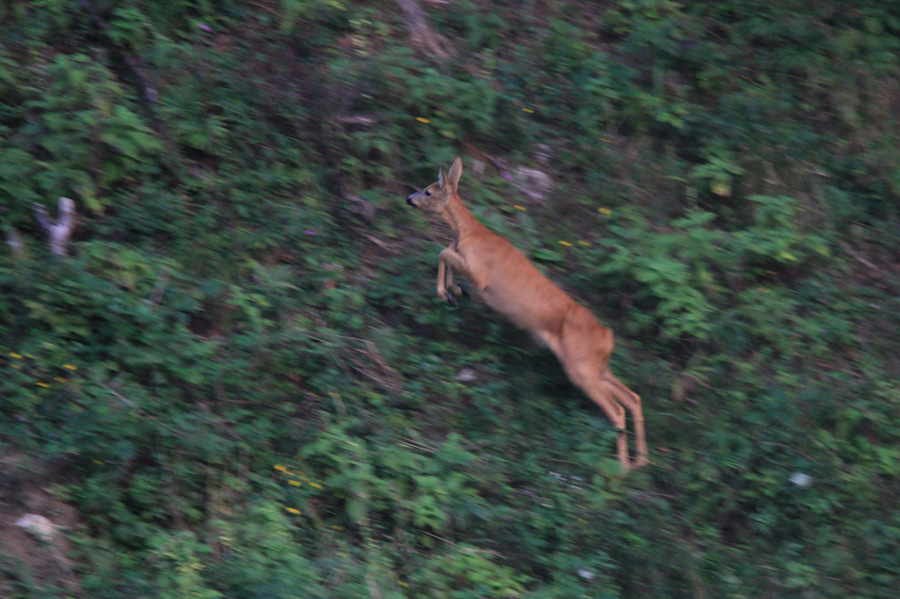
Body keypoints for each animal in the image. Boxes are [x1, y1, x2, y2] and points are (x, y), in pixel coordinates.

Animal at [408, 157, 648, 472]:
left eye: (428, 190)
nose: (408, 198)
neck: (471, 233)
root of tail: (607, 338)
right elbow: (448, 248)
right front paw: (455, 291)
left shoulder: (481, 274)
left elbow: (443, 250)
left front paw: (447, 291)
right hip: (598, 367)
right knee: (634, 398)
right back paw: (641, 460)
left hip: (581, 368)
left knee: (617, 408)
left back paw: (622, 468)